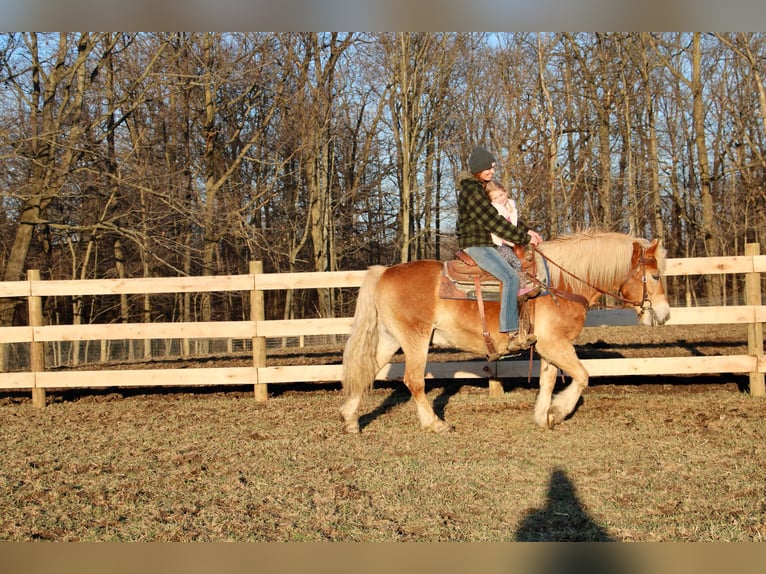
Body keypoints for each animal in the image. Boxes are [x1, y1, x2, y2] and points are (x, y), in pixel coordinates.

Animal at [342, 228, 672, 432]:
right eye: (655, 275)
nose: (665, 314)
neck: (560, 283)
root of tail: (385, 271)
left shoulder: (549, 347)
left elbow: (548, 380)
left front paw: (543, 416)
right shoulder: (555, 345)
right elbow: (582, 377)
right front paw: (558, 412)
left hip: (390, 339)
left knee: (368, 370)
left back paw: (349, 419)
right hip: (415, 339)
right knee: (413, 381)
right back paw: (435, 423)